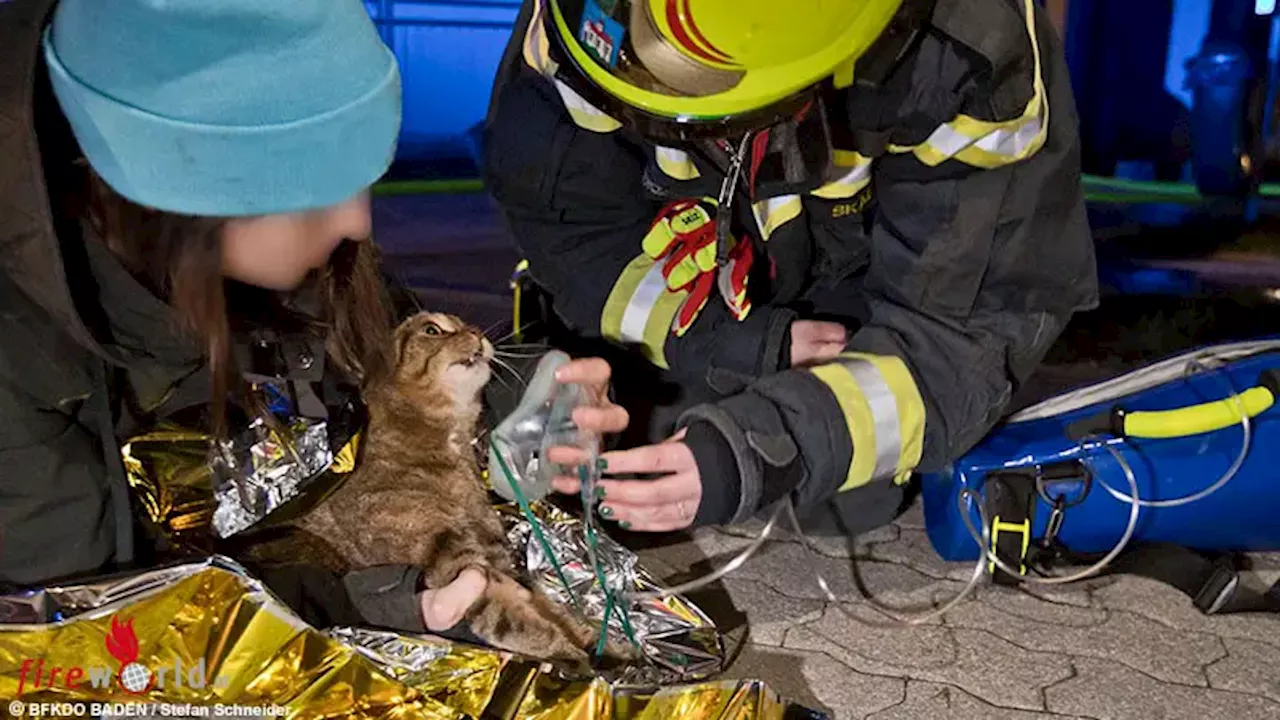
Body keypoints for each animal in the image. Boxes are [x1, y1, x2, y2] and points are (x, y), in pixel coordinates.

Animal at [256, 311, 614, 666]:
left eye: (464, 324)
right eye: (432, 330)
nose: (476, 330)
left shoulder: (499, 561)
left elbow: (557, 612)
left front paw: (604, 645)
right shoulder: (457, 565)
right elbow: (517, 622)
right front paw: (576, 655)